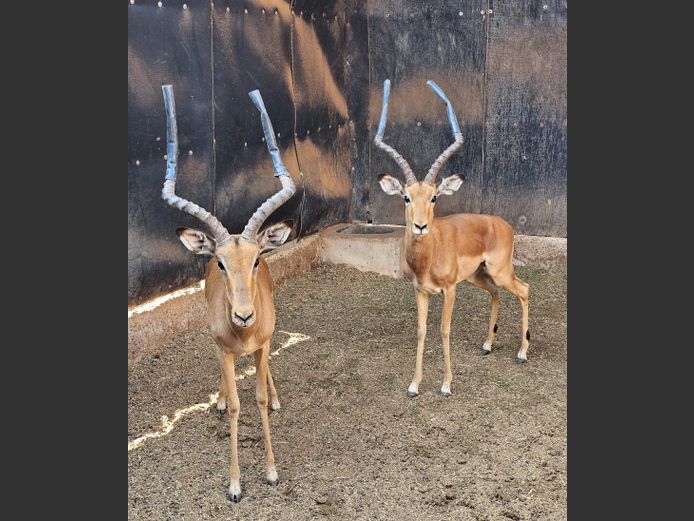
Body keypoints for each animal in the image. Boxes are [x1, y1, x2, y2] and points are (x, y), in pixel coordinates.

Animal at [160, 85, 296, 502]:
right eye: (220, 262)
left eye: (256, 259)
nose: (244, 315)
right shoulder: (224, 348)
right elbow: (238, 405)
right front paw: (235, 484)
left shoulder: (264, 343)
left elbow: (260, 399)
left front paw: (271, 471)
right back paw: (219, 399)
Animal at [374, 79, 531, 398]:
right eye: (406, 197)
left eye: (434, 197)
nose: (421, 226)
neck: (428, 258)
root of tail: (503, 224)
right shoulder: (421, 291)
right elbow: (421, 331)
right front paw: (414, 385)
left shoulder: (449, 290)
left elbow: (444, 330)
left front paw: (446, 384)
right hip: (478, 276)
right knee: (496, 294)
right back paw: (487, 344)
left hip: (499, 272)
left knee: (525, 289)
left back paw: (522, 352)